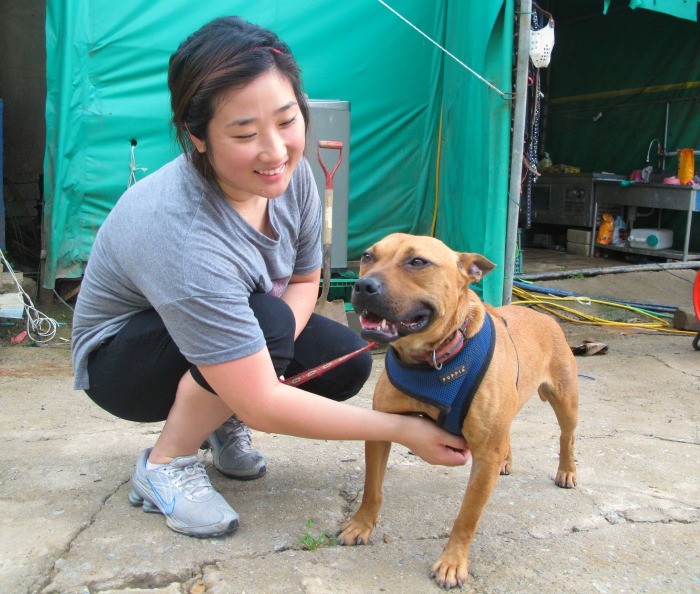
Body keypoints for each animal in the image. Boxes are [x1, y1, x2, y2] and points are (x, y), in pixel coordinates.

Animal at [338, 233, 578, 589]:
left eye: (418, 262)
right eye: (368, 256)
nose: (363, 286)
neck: (432, 359)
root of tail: (542, 315)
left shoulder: (485, 456)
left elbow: (467, 516)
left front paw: (453, 562)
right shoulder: (381, 430)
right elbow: (372, 488)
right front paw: (361, 524)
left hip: (566, 401)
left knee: (566, 437)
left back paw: (567, 471)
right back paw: (508, 461)